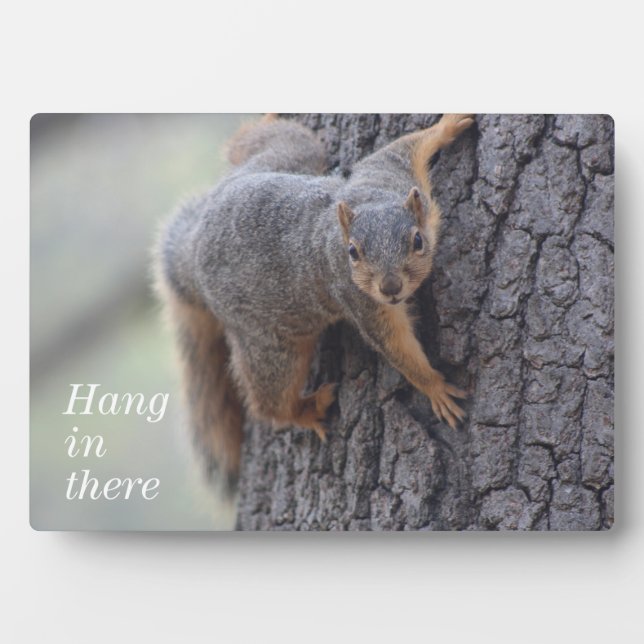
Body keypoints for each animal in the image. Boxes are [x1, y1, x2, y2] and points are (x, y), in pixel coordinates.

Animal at [157, 113, 475, 494]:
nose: (390, 288)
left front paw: (447, 125)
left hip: (288, 156)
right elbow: (395, 345)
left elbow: (404, 146)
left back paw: (263, 120)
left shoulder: (390, 173)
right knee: (270, 401)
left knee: (256, 143)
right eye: (352, 252)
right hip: (270, 345)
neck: (372, 200)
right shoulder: (360, 301)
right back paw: (304, 410)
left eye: (417, 241)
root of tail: (193, 251)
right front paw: (434, 387)